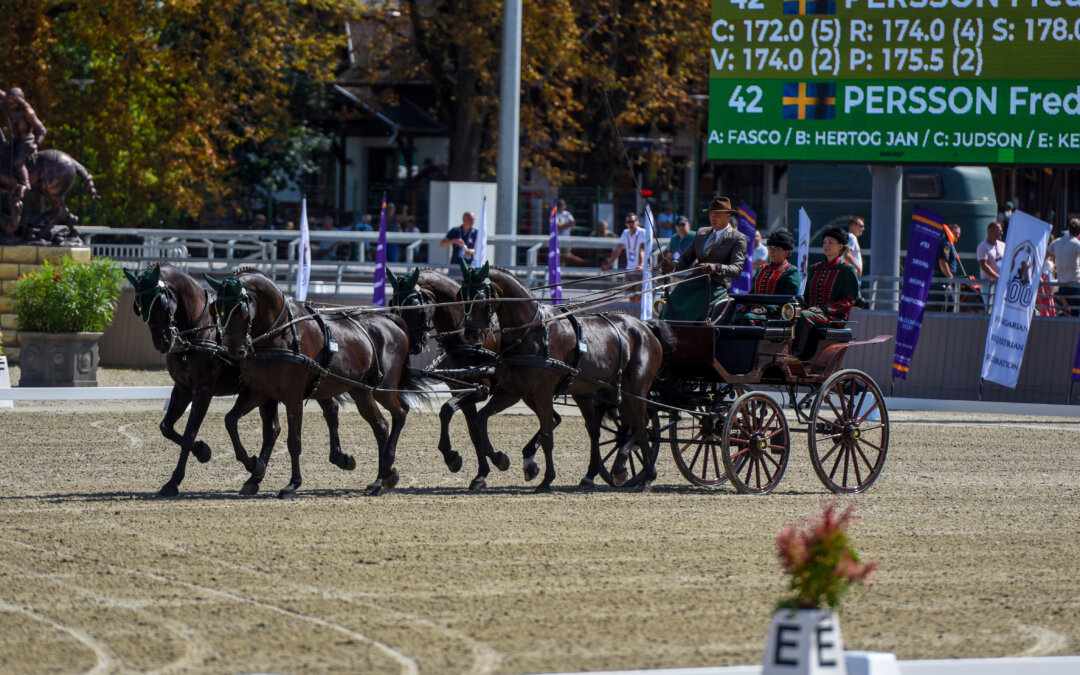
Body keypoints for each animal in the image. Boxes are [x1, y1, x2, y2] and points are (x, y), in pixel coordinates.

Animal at [123, 262, 280, 494]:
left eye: (161, 302)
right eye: (139, 306)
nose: (163, 342)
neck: (198, 333)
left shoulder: (203, 390)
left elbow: (189, 433)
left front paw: (174, 481)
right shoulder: (182, 388)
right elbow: (166, 427)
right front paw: (202, 451)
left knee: (271, 430)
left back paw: (255, 471)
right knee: (272, 430)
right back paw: (254, 477)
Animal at [204, 266, 427, 494]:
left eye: (241, 308)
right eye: (218, 309)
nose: (234, 350)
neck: (280, 332)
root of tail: (392, 321)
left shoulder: (293, 396)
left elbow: (294, 441)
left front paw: (292, 484)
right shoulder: (258, 391)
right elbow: (231, 420)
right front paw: (254, 466)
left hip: (383, 388)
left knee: (400, 413)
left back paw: (387, 470)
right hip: (360, 390)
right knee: (381, 426)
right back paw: (381, 479)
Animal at [386, 266, 565, 490]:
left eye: (415, 307)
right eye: (394, 306)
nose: (412, 345)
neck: (460, 333)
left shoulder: (480, 390)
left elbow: (447, 411)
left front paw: (458, 457)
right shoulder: (461, 389)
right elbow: (473, 432)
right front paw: (481, 474)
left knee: (552, 419)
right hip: (528, 393)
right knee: (554, 419)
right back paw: (530, 462)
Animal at [457, 262, 665, 490]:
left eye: (480, 297)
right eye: (460, 295)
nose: (470, 335)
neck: (530, 333)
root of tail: (645, 327)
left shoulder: (543, 393)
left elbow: (548, 435)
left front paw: (547, 479)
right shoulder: (512, 392)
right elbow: (481, 418)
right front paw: (500, 459)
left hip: (635, 388)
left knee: (640, 425)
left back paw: (622, 468)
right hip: (605, 391)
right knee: (625, 428)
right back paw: (644, 477)